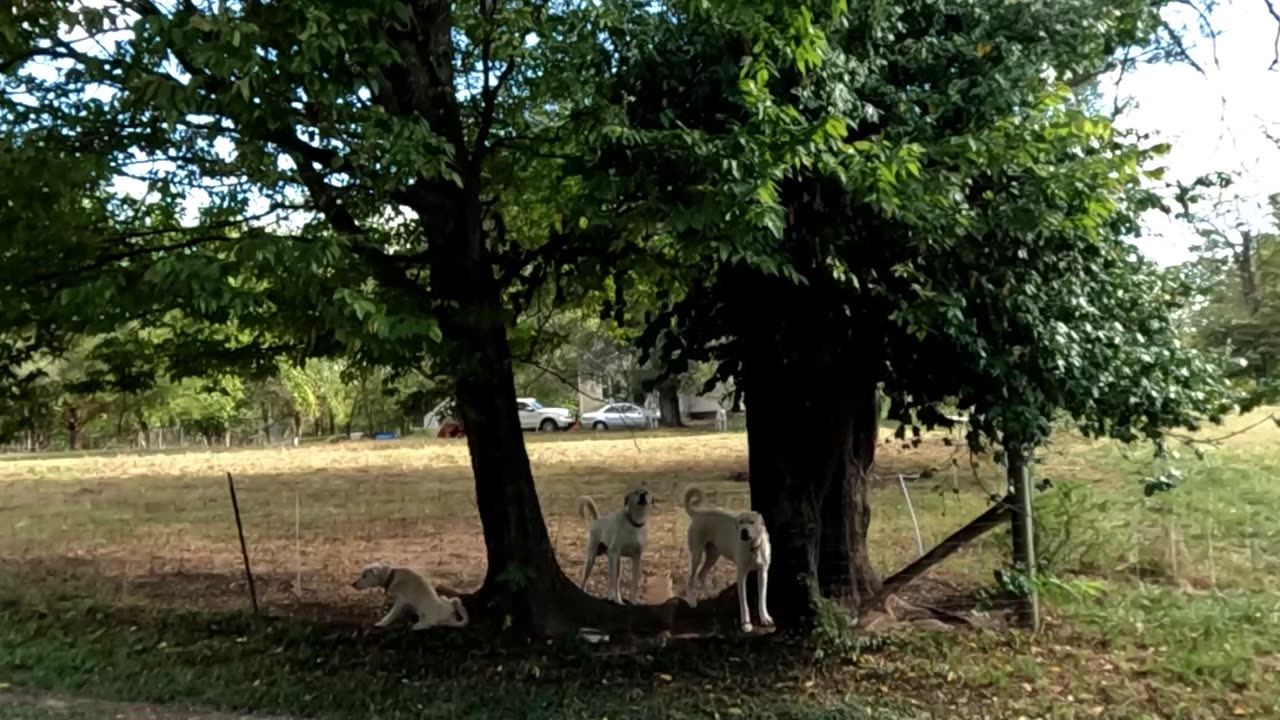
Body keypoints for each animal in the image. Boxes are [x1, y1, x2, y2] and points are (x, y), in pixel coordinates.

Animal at [686, 484, 773, 630]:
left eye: (752, 522)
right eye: (740, 522)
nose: (744, 531)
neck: (753, 547)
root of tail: (698, 513)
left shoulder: (763, 573)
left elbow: (763, 599)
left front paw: (765, 618)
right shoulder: (741, 574)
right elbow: (744, 602)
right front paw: (746, 624)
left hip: (713, 555)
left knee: (702, 574)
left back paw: (710, 595)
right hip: (696, 554)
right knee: (691, 578)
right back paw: (692, 600)